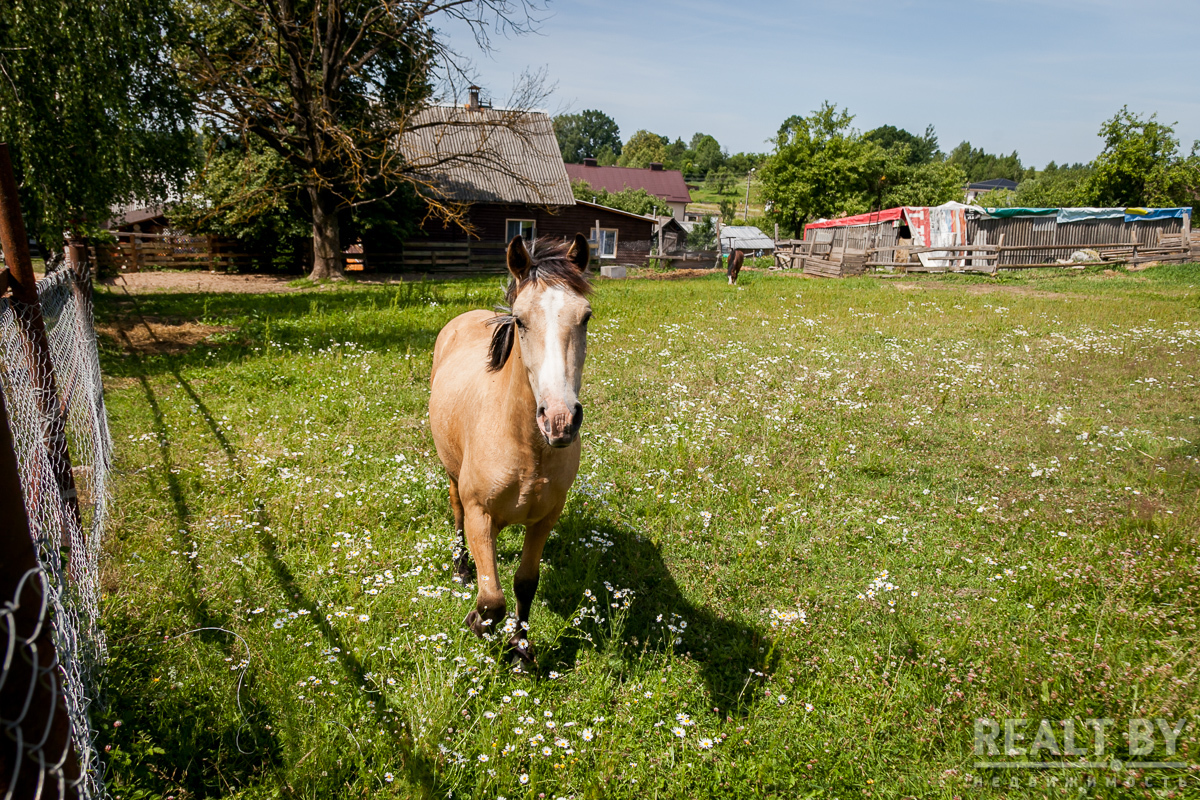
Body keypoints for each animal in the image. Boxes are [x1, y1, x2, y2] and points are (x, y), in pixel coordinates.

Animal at [429, 235, 592, 666]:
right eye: (520, 320)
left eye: (586, 316)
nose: (559, 420)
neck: (525, 449)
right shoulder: (480, 515)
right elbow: (491, 600)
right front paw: (478, 623)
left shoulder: (544, 520)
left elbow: (524, 584)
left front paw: (521, 650)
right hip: (452, 477)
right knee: (454, 511)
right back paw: (460, 568)